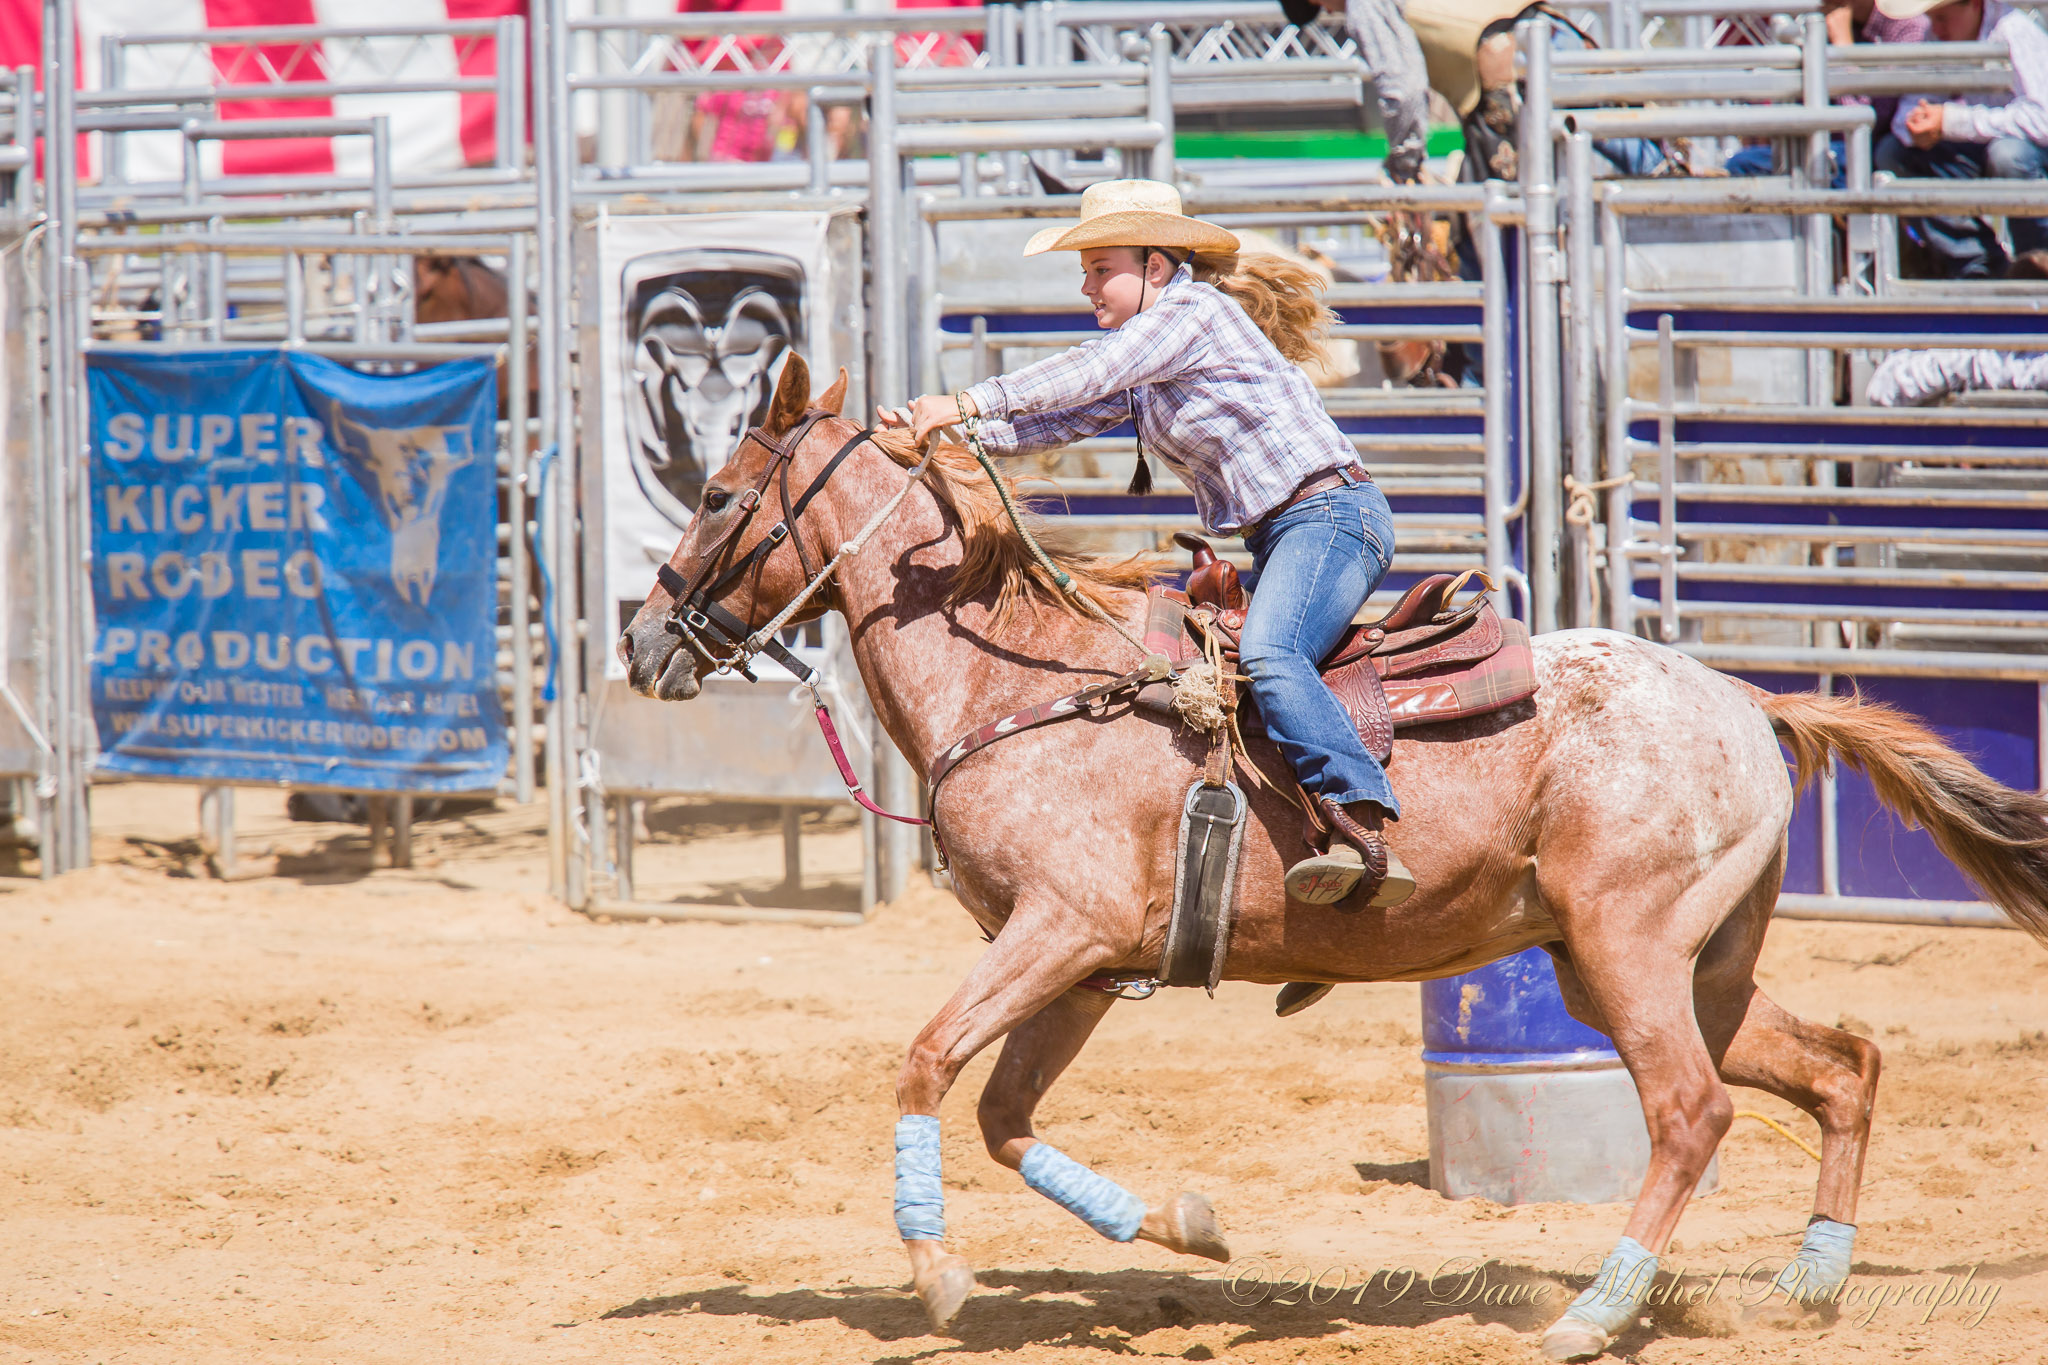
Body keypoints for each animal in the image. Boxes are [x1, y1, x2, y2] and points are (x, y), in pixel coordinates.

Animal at [617, 354, 2048, 1362]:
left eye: (719, 495)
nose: (640, 642)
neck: (1021, 682)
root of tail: (1750, 702)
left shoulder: (1058, 930)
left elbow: (924, 1065)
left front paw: (935, 1274)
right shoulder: (1081, 967)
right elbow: (1002, 1115)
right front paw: (1183, 1229)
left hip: (1630, 951)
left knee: (1690, 1113)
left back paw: (1592, 1313)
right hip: (1686, 965)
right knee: (1840, 1064)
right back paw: (1808, 1280)